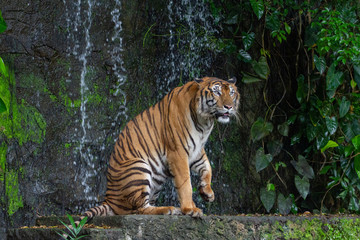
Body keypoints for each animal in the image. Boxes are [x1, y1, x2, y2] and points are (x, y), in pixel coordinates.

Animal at [76, 76, 240, 221]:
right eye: (217, 92)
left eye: (231, 93)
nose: (229, 107)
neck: (205, 122)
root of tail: (108, 199)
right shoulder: (178, 152)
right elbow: (185, 183)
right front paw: (190, 209)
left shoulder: (197, 150)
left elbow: (207, 167)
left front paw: (207, 193)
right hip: (138, 167)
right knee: (138, 209)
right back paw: (169, 209)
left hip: (156, 180)